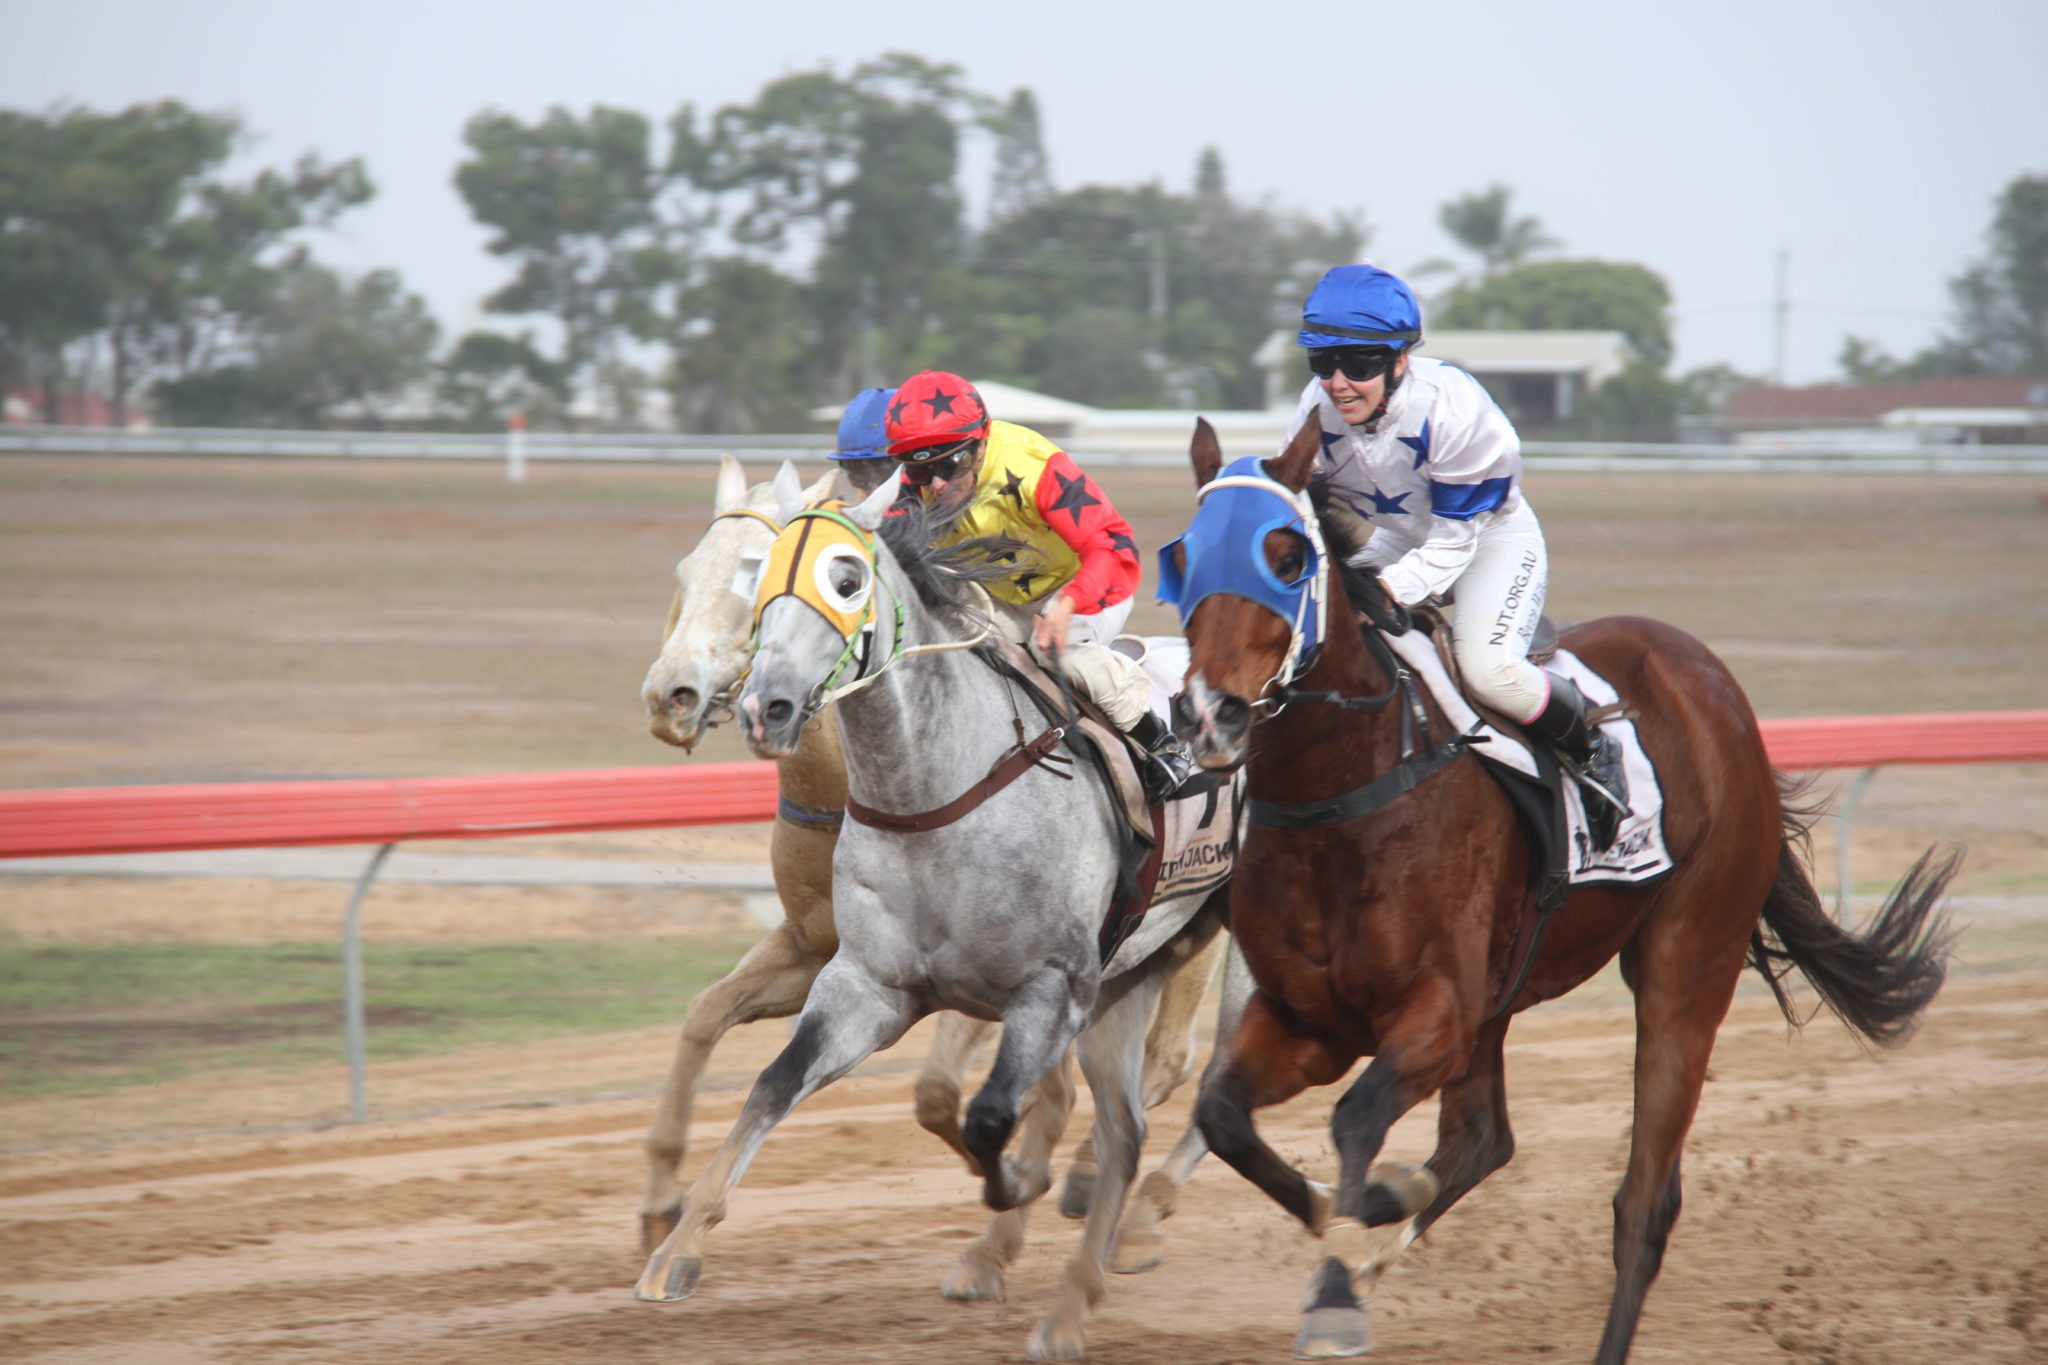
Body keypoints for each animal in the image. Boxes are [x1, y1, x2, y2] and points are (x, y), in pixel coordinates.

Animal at [1171, 421, 1949, 1358]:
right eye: (1181, 556)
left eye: (1286, 557)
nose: (1209, 714)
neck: (1346, 796)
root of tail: (1715, 686)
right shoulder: (1310, 1017)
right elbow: (1223, 1113)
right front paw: (1344, 1217)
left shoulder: (1434, 1013)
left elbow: (1355, 1117)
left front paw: (1334, 1288)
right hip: (1500, 1000)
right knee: (1482, 1140)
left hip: (1687, 961)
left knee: (1643, 1201)